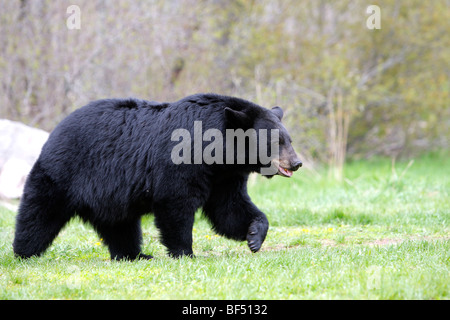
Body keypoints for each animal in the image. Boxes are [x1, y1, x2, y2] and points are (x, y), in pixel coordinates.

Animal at [13, 92, 302, 260]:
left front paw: (255, 235)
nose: (297, 162)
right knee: (39, 214)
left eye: (288, 139)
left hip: (109, 195)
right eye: (276, 142)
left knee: (120, 225)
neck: (217, 151)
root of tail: (55, 130)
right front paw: (185, 253)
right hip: (64, 173)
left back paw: (134, 255)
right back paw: (24, 252)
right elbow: (175, 202)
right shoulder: (183, 160)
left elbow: (229, 209)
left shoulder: (224, 175)